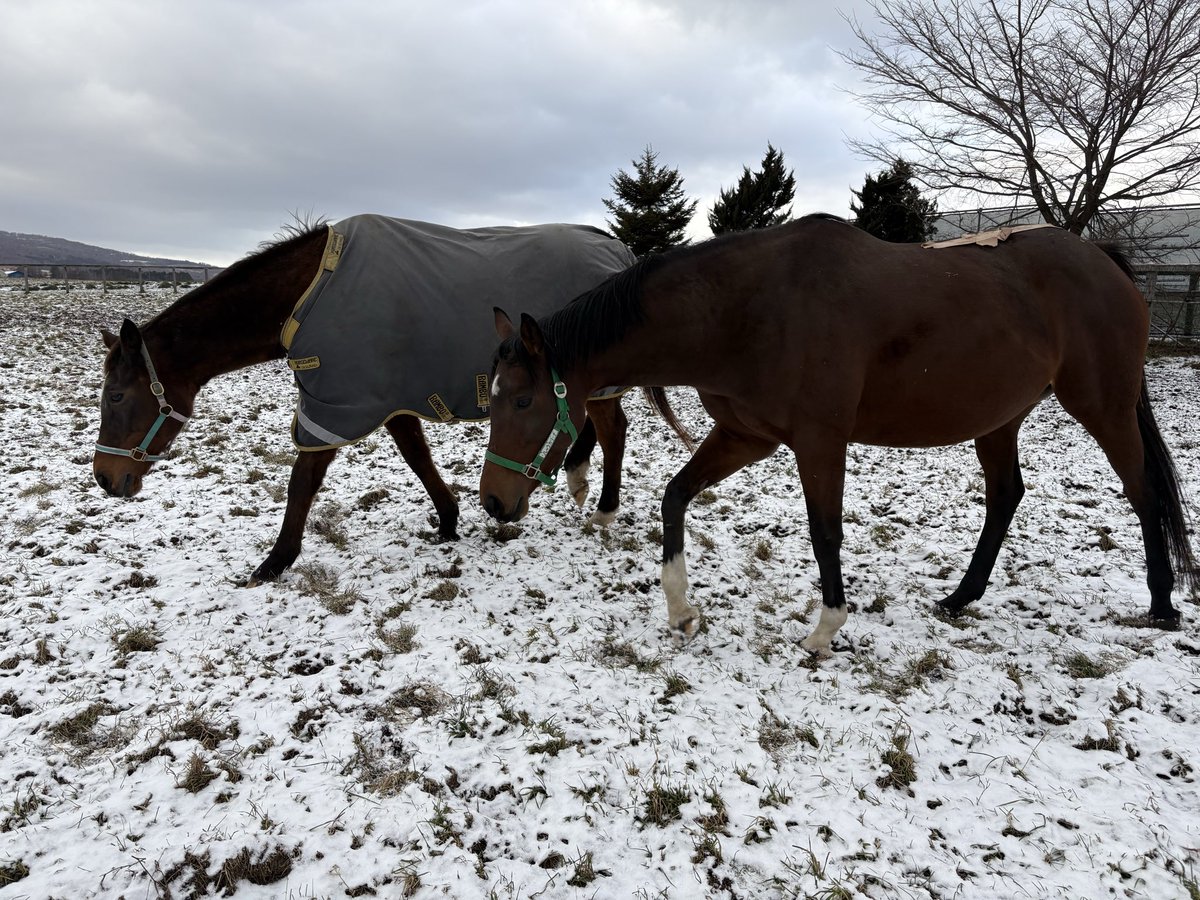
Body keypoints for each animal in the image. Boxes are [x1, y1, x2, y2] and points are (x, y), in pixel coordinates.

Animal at [93, 214, 643, 585]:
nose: (105, 479)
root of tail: (618, 251)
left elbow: (303, 482)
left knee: (613, 432)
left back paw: (604, 509)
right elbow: (417, 458)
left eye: (117, 395)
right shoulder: (389, 400)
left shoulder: (336, 405)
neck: (309, 292)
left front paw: (275, 561)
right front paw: (449, 521)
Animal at [480, 215, 1197, 656]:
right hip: (999, 418)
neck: (751, 308)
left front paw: (825, 629)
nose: (492, 501)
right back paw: (960, 598)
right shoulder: (746, 434)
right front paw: (681, 609)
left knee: (1142, 491)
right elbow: (675, 496)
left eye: (523, 399)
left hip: (1102, 404)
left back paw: (1162, 605)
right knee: (1006, 497)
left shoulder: (819, 441)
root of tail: (1105, 262)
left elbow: (825, 530)